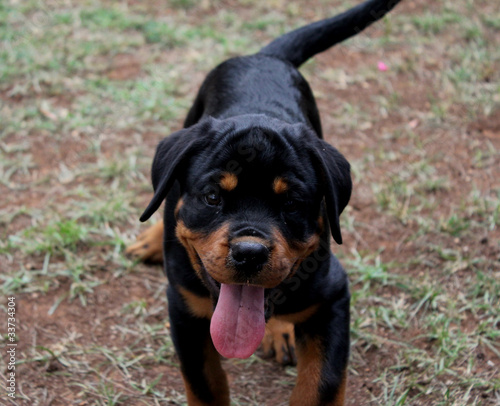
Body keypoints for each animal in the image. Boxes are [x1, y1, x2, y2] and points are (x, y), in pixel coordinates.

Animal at [128, 0, 402, 404]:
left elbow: (321, 384)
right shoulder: (184, 309)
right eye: (212, 197)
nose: (249, 252)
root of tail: (264, 56)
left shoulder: (332, 297)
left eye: (291, 204)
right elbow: (205, 385)